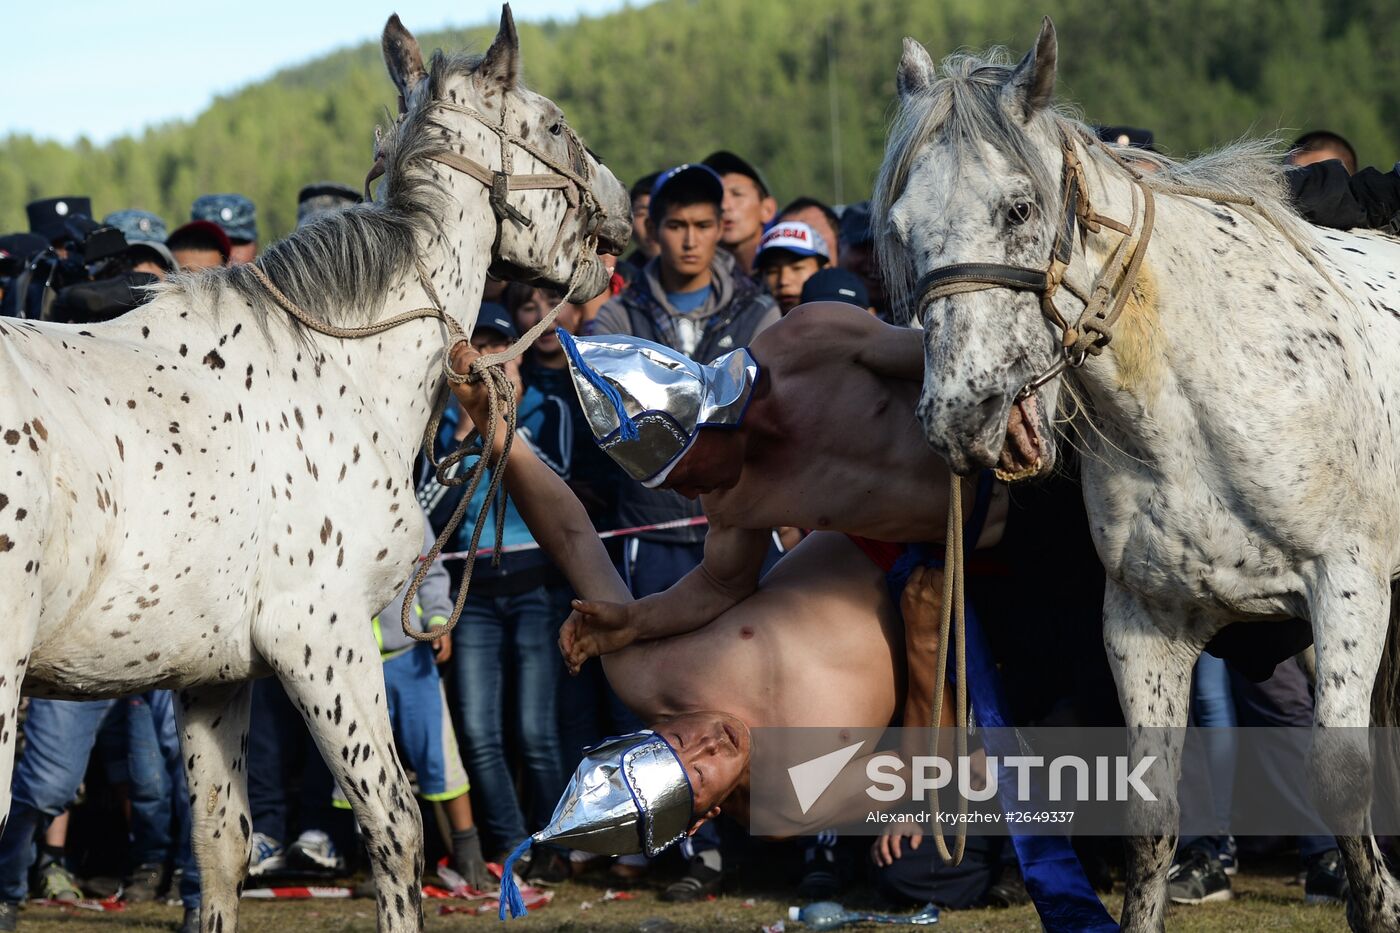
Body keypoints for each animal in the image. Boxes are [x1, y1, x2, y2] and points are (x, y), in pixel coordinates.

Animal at [0, 9, 630, 930]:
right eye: (553, 126)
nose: (619, 213)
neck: (336, 364)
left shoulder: (211, 677)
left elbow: (219, 851)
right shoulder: (320, 638)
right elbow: (396, 826)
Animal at [873, 14, 1400, 930]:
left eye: (1018, 208)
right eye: (900, 228)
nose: (963, 417)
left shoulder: (1349, 585)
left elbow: (1341, 786)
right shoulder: (1146, 621)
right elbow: (1150, 819)